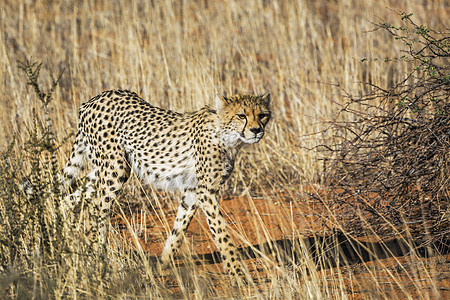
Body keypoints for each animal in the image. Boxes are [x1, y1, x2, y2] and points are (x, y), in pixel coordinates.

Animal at [62, 89, 270, 276]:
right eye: (241, 115)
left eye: (262, 115)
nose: (256, 130)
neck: (226, 136)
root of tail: (92, 100)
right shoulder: (206, 191)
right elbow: (221, 231)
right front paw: (236, 271)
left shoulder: (193, 190)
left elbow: (179, 228)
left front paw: (163, 264)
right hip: (115, 169)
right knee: (97, 209)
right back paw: (98, 256)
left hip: (105, 169)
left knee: (70, 197)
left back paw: (64, 235)